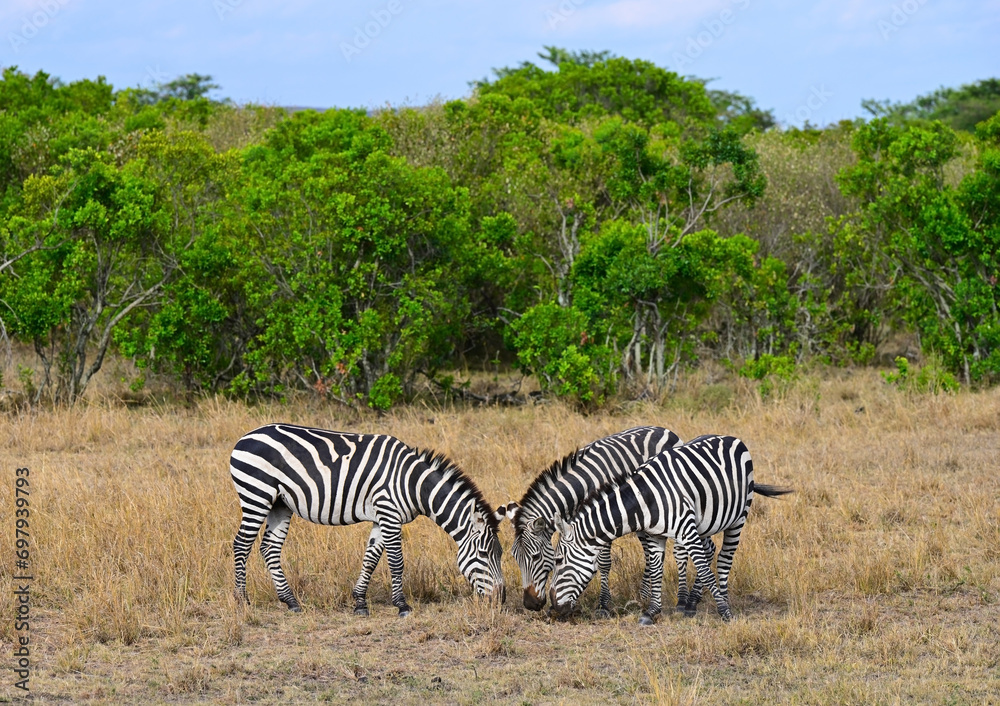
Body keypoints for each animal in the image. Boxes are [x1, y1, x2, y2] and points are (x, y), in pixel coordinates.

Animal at [230, 423, 506, 617]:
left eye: (500, 555)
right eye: (483, 555)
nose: (501, 600)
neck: (413, 484)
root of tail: (245, 437)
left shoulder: (382, 517)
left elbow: (371, 559)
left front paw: (360, 602)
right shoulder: (389, 513)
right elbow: (396, 562)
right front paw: (402, 605)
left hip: (279, 504)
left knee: (269, 549)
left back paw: (290, 601)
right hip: (256, 494)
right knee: (241, 545)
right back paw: (242, 600)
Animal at [501, 426, 682, 615]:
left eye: (535, 557)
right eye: (515, 557)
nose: (530, 604)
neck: (579, 490)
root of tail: (661, 428)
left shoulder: (603, 521)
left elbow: (603, 563)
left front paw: (603, 604)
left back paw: (645, 595)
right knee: (648, 551)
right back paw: (644, 595)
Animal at [548, 434, 791, 625]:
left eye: (559, 560)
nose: (552, 608)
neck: (646, 497)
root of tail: (731, 437)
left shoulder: (687, 529)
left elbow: (705, 570)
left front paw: (725, 613)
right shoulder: (655, 535)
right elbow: (657, 570)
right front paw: (652, 612)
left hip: (739, 517)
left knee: (724, 559)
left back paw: (723, 602)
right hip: (705, 523)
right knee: (710, 552)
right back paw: (692, 603)